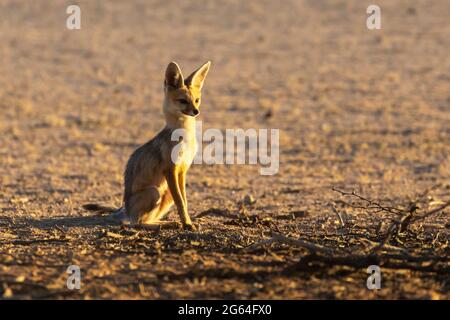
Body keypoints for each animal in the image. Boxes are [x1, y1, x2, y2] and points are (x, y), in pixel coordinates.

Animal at [82, 60, 211, 230]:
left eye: (197, 100)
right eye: (183, 101)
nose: (196, 111)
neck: (185, 136)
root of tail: (126, 209)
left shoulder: (182, 171)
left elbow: (184, 201)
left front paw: (187, 222)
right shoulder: (170, 170)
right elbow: (181, 203)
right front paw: (187, 224)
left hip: (166, 193)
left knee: (147, 219)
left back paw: (167, 223)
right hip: (154, 191)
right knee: (136, 223)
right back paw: (159, 226)